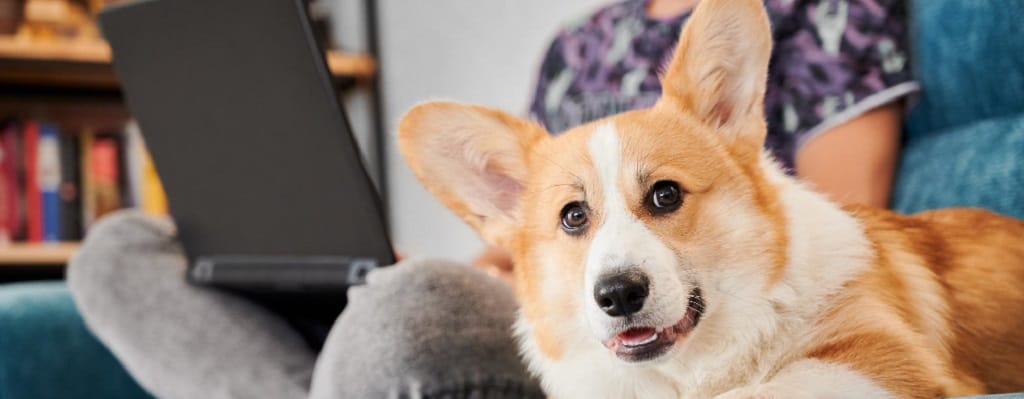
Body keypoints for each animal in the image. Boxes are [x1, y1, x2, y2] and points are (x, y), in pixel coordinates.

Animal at [395, 0, 1024, 394]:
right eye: (573, 216)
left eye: (665, 195)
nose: (617, 295)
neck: (688, 369)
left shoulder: (885, 360)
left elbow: (763, 390)